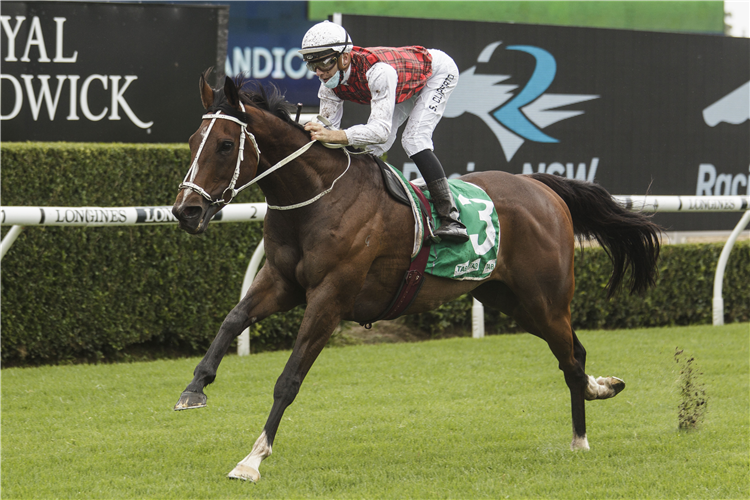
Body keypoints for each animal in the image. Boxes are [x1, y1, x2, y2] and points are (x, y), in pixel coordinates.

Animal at [172, 73, 664, 480]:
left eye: (224, 145)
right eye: (193, 140)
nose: (185, 211)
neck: (317, 199)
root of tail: (541, 187)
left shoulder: (330, 296)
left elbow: (289, 379)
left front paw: (253, 458)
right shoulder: (281, 281)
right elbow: (233, 320)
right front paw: (194, 388)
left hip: (545, 299)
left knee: (570, 358)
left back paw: (589, 415)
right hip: (510, 300)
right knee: (573, 351)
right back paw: (593, 408)